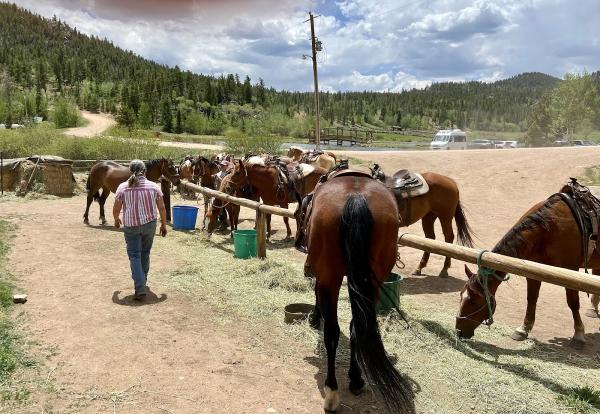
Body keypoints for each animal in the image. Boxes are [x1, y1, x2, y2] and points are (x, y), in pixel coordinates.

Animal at [304, 169, 412, 414]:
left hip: (331, 278)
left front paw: (315, 317)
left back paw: (332, 392)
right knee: (357, 326)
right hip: (372, 283)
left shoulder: (321, 277)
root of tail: (356, 197)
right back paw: (356, 379)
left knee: (332, 333)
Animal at [458, 180, 600, 348]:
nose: (459, 331)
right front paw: (523, 329)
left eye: (473, 301)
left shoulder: (570, 270)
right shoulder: (533, 270)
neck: (548, 230)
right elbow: (531, 298)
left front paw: (578, 334)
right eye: (461, 296)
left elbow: (572, 302)